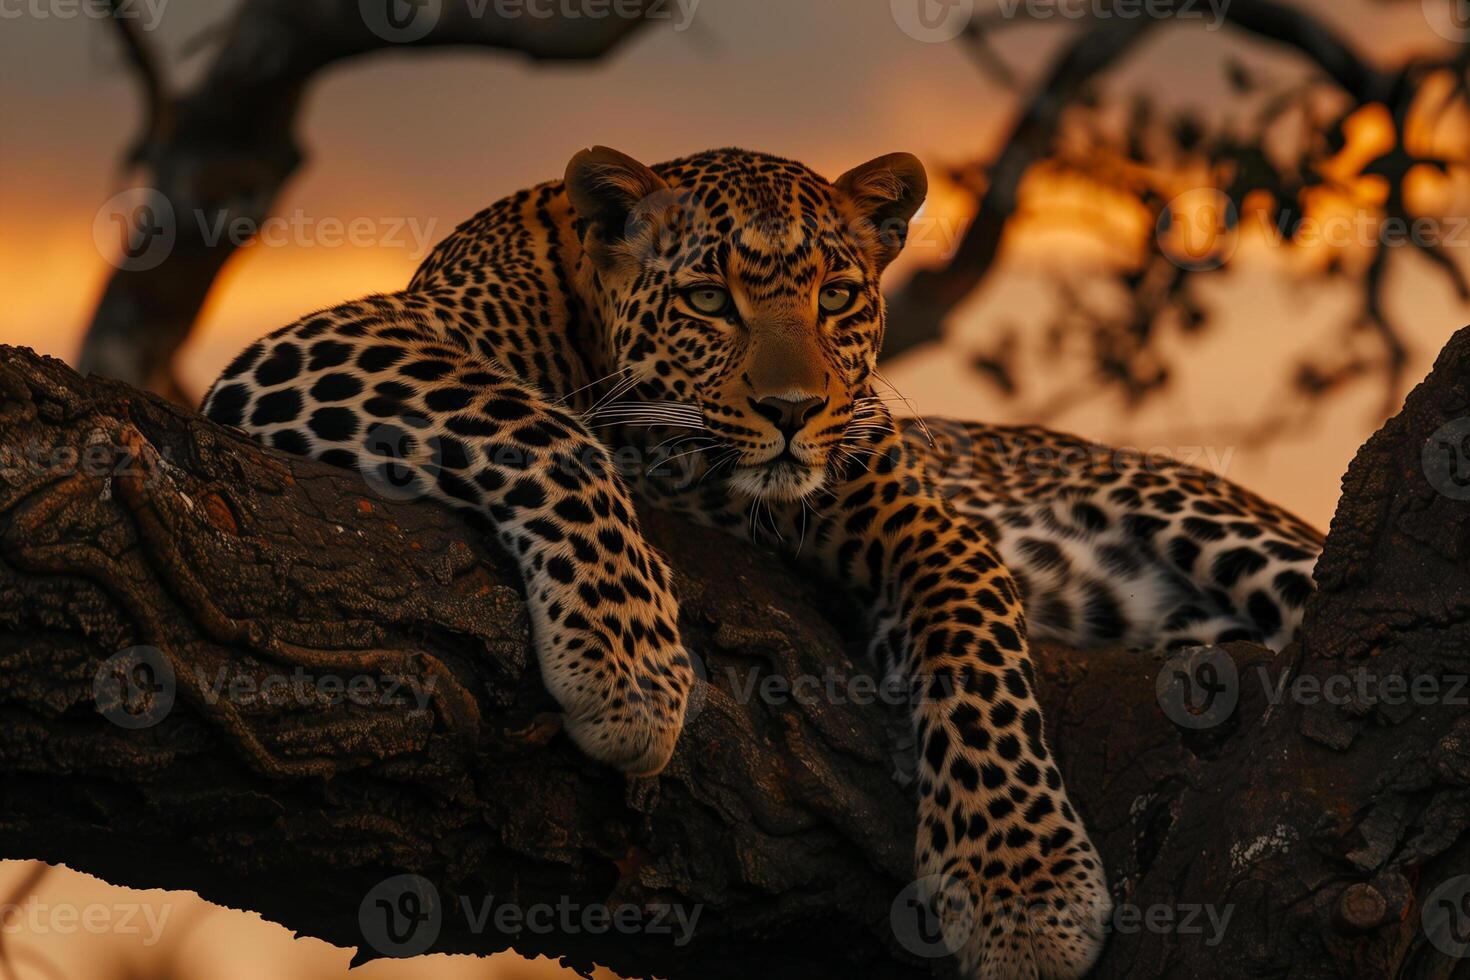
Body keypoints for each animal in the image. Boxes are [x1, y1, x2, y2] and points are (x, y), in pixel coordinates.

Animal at [204, 147, 1323, 980]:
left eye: (838, 296)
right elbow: (540, 425)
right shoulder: (316, 345)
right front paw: (630, 670)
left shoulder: (910, 507)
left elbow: (975, 641)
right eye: (707, 298)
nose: (794, 410)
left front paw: (1024, 888)